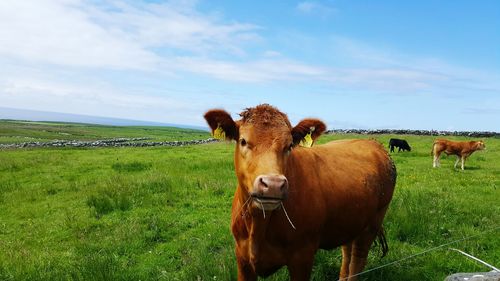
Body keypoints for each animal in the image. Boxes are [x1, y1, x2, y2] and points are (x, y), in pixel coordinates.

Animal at [202, 104, 394, 278]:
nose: (273, 184)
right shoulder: (242, 258)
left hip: (374, 221)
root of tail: (374, 143)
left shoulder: (302, 256)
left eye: (289, 146)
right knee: (347, 253)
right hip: (350, 221)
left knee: (358, 259)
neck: (258, 224)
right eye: (243, 141)